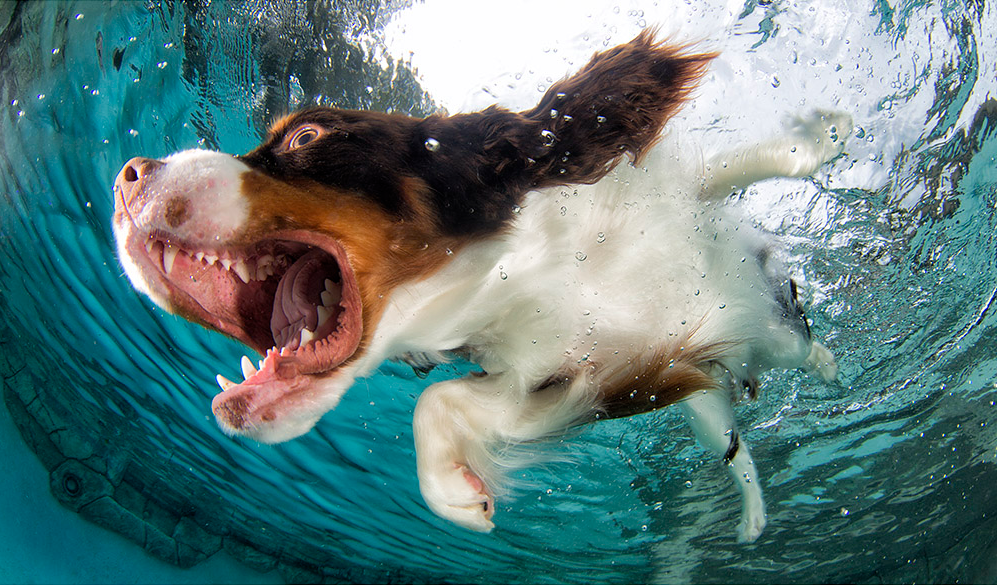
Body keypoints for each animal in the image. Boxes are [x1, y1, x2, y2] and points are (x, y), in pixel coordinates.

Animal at [115, 30, 848, 544]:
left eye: (306, 134)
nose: (127, 175)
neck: (533, 271)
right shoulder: (592, 378)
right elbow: (440, 400)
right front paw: (456, 491)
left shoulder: (678, 215)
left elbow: (740, 167)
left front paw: (826, 133)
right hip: (703, 402)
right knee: (731, 444)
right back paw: (753, 513)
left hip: (756, 333)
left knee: (788, 348)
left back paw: (825, 365)